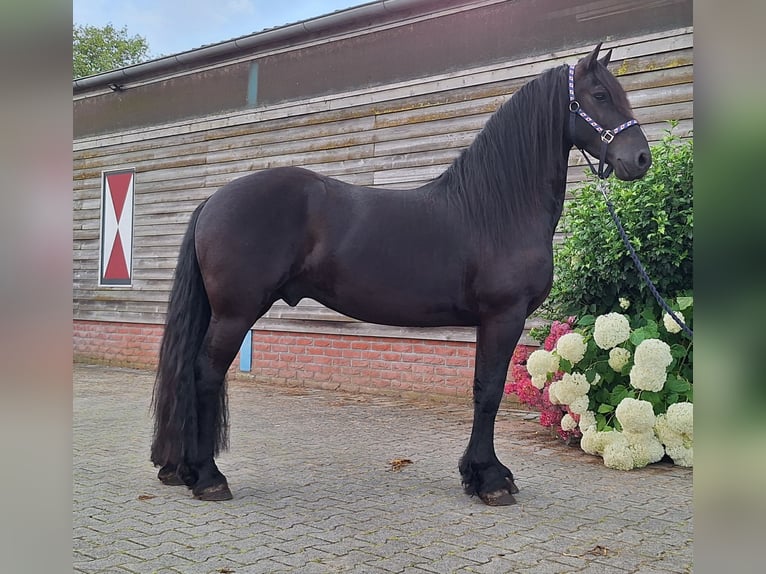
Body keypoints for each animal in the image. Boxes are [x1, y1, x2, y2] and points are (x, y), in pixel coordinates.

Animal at [152, 44, 656, 504]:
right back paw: (209, 477)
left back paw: (184, 470)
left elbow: (481, 388)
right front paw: (490, 480)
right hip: (235, 313)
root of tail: (214, 201)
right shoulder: (503, 316)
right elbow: (489, 391)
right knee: (205, 374)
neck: (496, 208)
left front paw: (477, 474)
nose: (641, 159)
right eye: (599, 95)